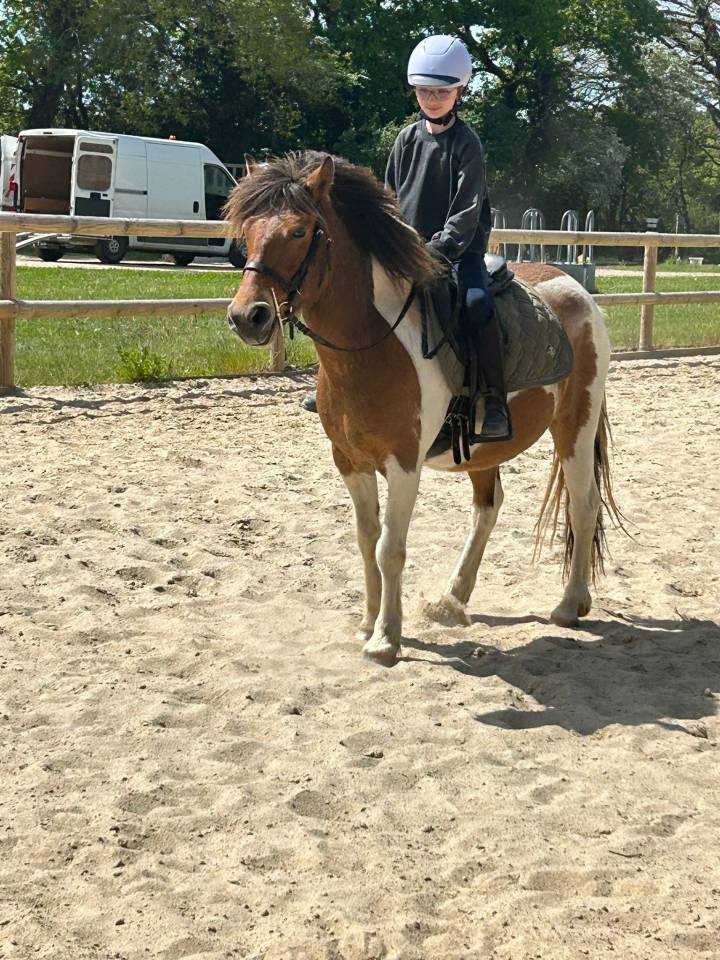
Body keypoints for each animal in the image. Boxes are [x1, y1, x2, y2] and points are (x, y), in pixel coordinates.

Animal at [224, 151, 621, 666]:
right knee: (488, 507)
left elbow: (390, 548)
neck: (373, 344)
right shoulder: (349, 462)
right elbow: (366, 541)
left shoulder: (403, 463)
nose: (247, 317)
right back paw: (453, 598)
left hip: (575, 427)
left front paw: (386, 638)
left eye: (298, 231)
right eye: (246, 230)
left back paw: (570, 604)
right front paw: (367, 622)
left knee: (583, 506)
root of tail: (577, 289)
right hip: (485, 448)